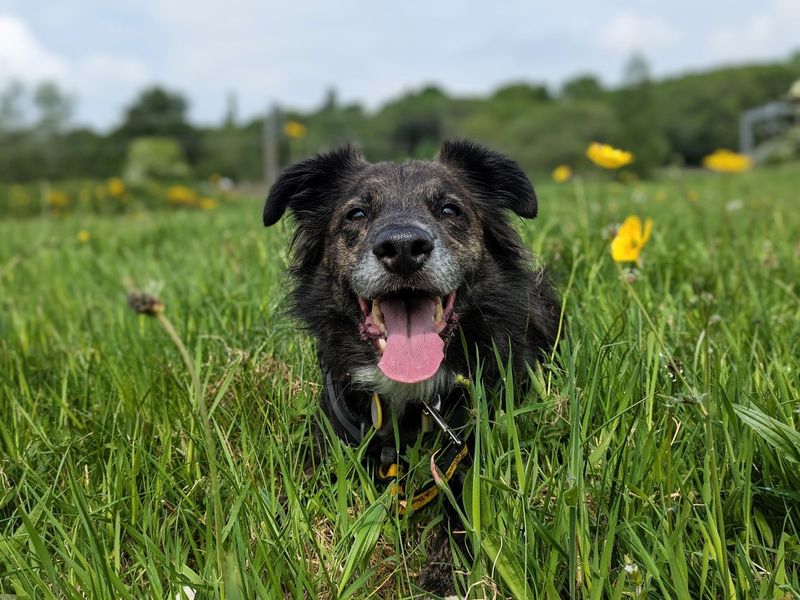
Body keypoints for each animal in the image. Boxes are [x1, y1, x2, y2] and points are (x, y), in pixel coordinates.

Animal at [266, 141, 560, 596]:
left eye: (450, 209)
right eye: (357, 214)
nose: (403, 247)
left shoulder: (470, 451)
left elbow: (460, 518)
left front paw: (444, 576)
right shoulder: (325, 447)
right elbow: (286, 504)